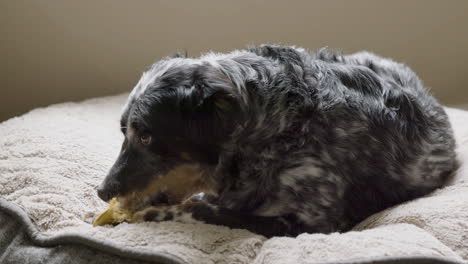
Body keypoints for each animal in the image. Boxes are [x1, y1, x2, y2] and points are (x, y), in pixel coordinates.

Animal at [95, 44, 458, 237]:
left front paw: (152, 215)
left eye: (145, 136)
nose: (102, 192)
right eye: (123, 131)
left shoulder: (313, 222)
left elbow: (198, 208)